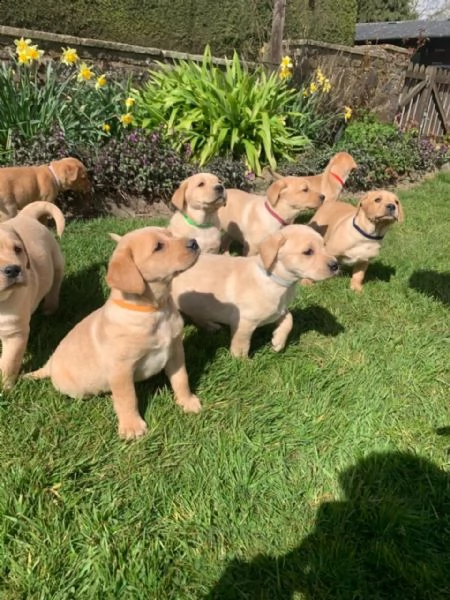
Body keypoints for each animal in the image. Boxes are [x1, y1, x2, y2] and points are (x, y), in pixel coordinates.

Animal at [0, 202, 65, 390]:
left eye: (17, 250)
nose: (14, 270)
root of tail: (26, 215)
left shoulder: (15, 334)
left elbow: (8, 363)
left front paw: (5, 388)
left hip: (57, 262)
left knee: (54, 286)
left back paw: (50, 308)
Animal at [25, 227, 200, 438]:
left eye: (171, 234)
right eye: (158, 247)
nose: (194, 243)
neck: (155, 310)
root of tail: (49, 365)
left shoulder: (175, 350)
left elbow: (181, 379)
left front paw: (188, 402)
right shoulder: (121, 368)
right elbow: (127, 397)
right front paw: (132, 427)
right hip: (76, 389)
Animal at [171, 224, 338, 356]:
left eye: (324, 246)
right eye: (308, 252)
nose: (336, 265)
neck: (274, 280)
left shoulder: (278, 311)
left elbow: (289, 318)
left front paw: (278, 341)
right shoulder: (244, 322)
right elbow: (241, 345)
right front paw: (242, 363)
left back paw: (211, 326)